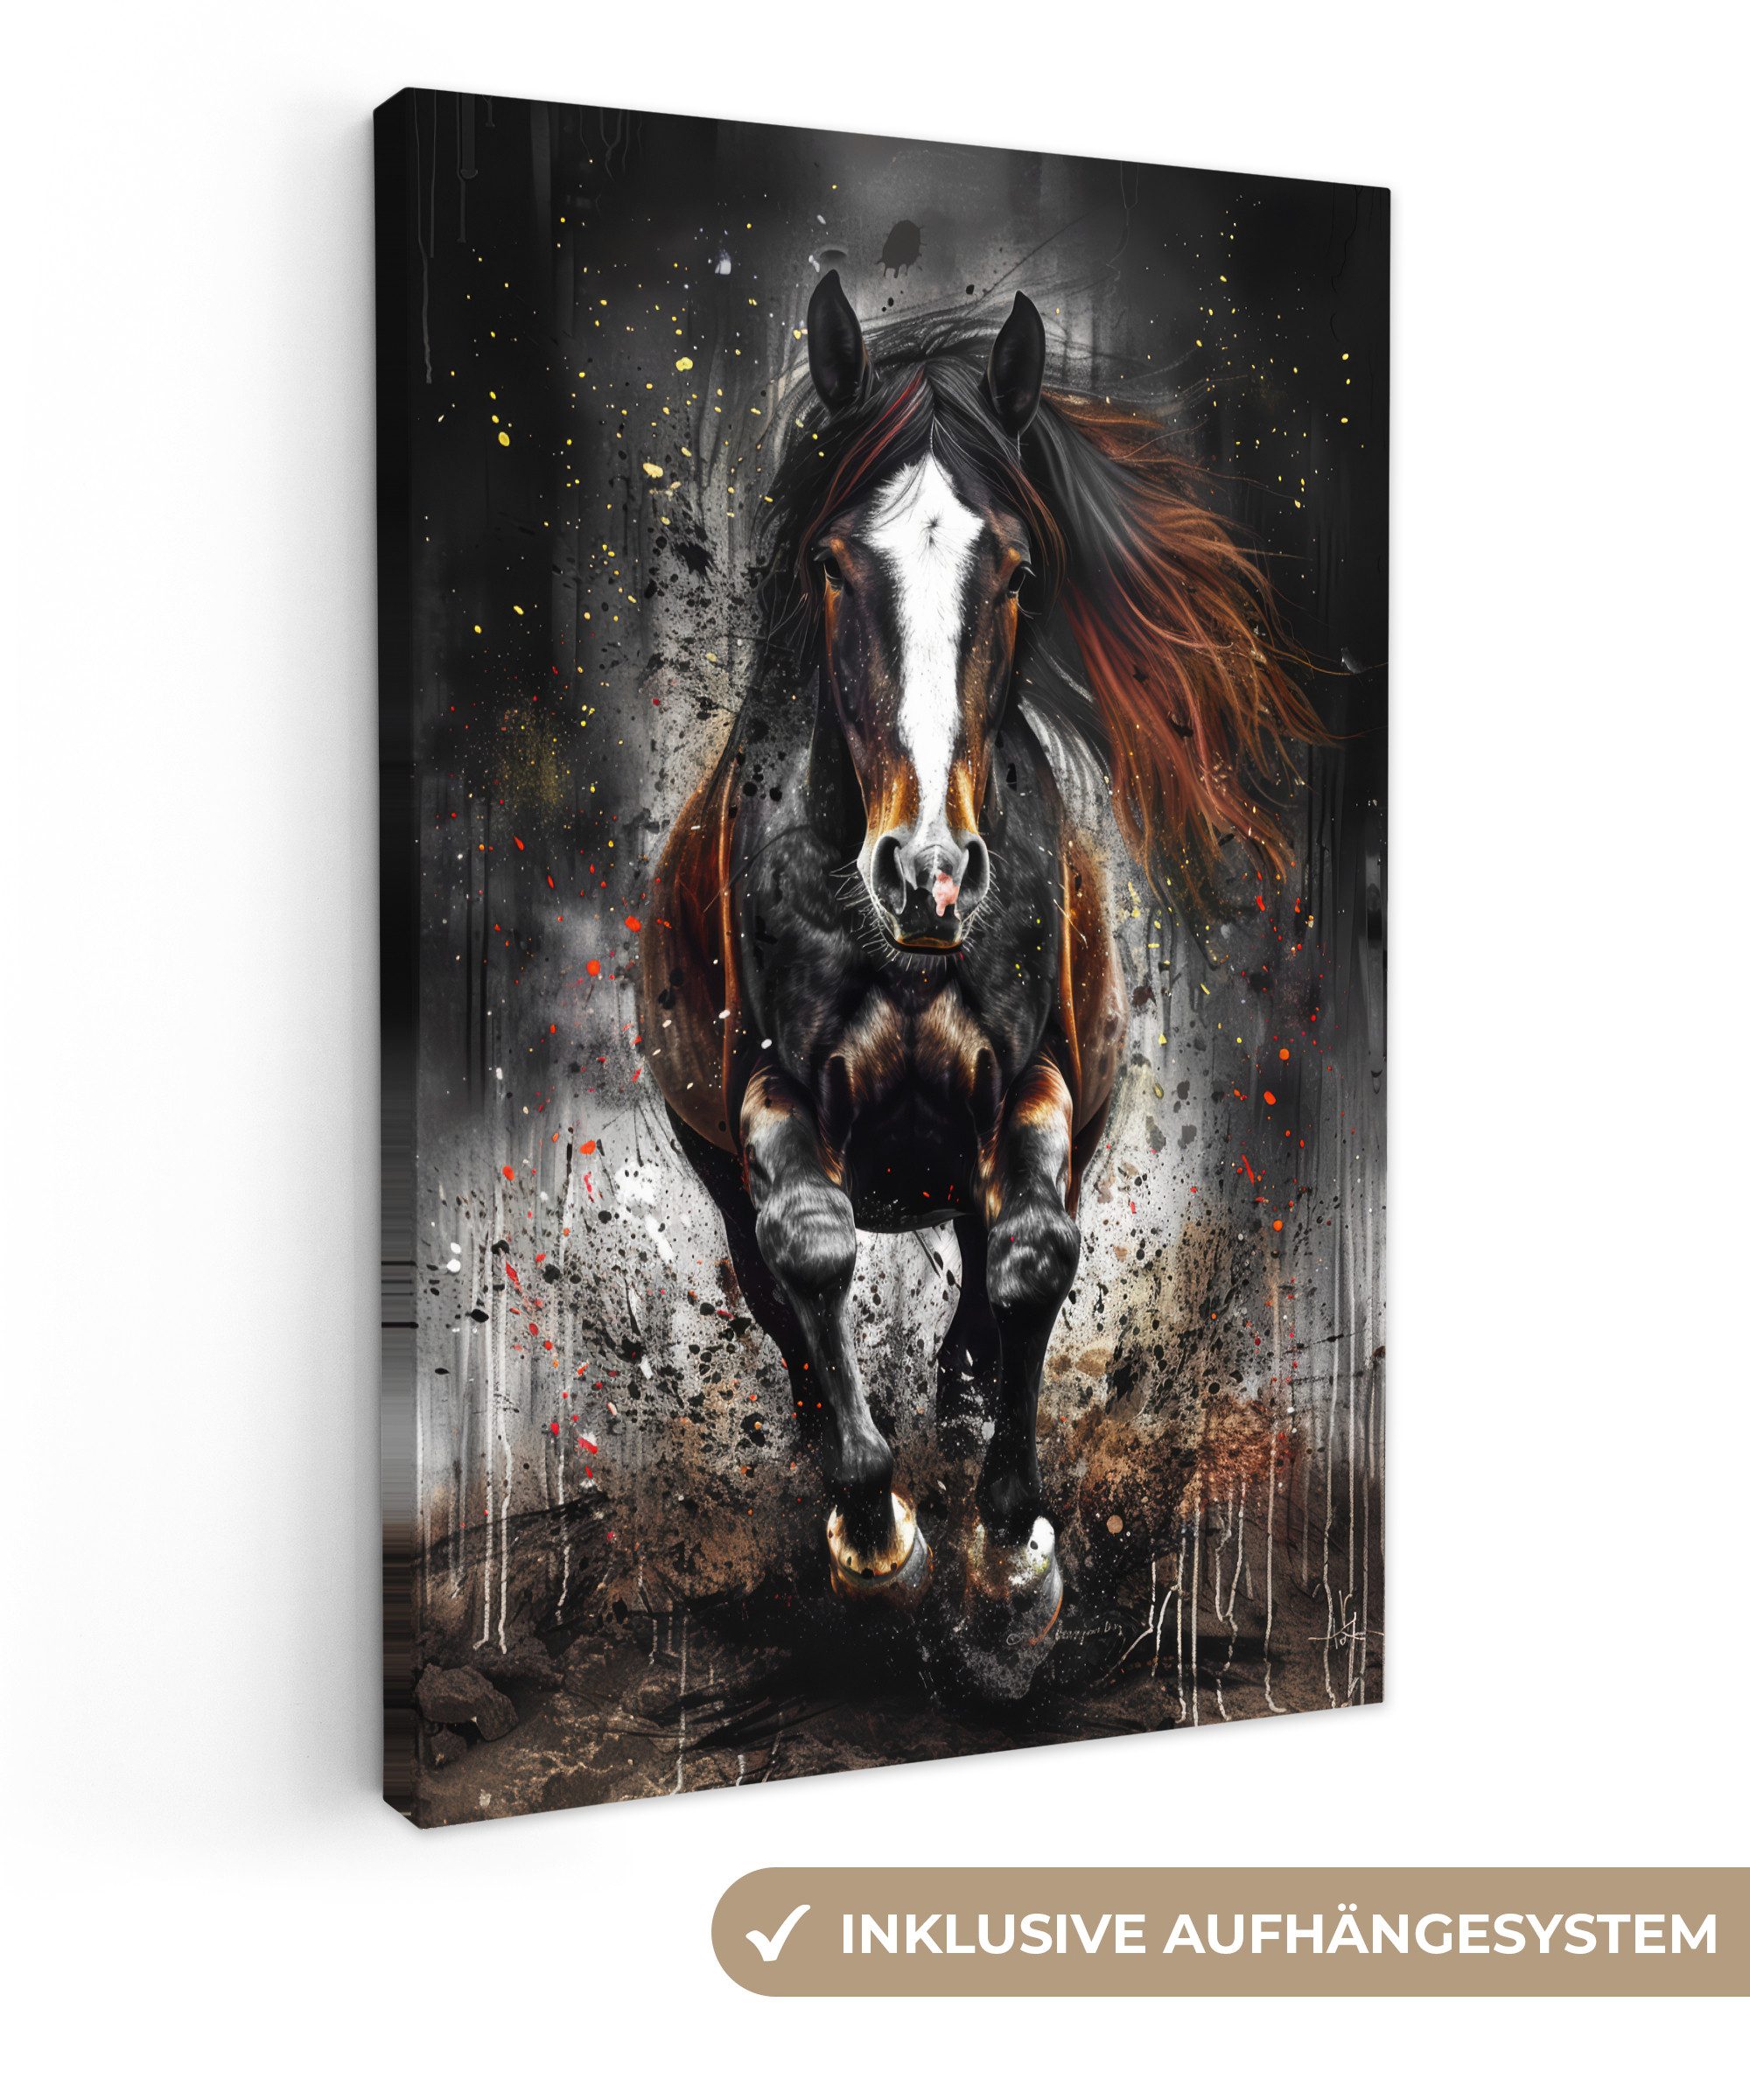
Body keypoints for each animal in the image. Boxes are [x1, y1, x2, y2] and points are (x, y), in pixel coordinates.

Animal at [639, 271, 1319, 1691]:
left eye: (1014, 569)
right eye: (835, 563)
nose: (930, 876)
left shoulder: (1032, 1084)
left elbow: (1031, 1258)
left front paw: (1010, 1562)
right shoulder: (772, 1092)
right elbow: (812, 1243)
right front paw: (874, 1534)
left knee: (977, 1283)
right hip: (715, 1169)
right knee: (780, 1301)